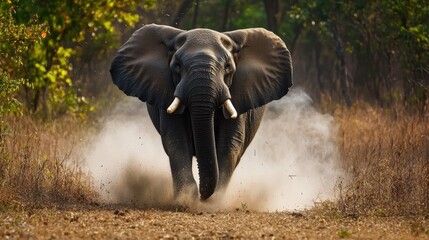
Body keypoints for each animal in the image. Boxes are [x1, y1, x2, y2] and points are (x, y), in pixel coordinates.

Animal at [108, 23, 292, 201]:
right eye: (177, 66)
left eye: (228, 67)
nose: (202, 197)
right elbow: (176, 140)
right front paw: (186, 199)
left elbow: (230, 143)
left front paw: (215, 200)